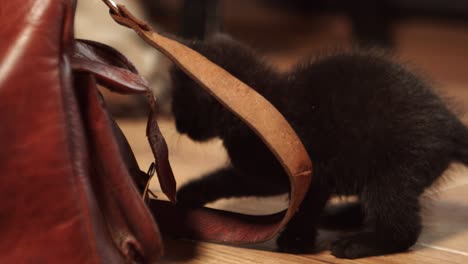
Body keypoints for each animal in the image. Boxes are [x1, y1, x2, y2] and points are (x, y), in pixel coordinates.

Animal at [168, 34, 468, 258]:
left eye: (180, 104)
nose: (178, 126)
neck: (263, 103)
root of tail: (449, 124)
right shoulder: (269, 174)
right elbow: (232, 178)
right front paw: (192, 192)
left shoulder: (309, 171)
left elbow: (302, 205)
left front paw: (296, 240)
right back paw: (341, 216)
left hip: (394, 169)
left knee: (402, 226)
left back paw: (357, 244)